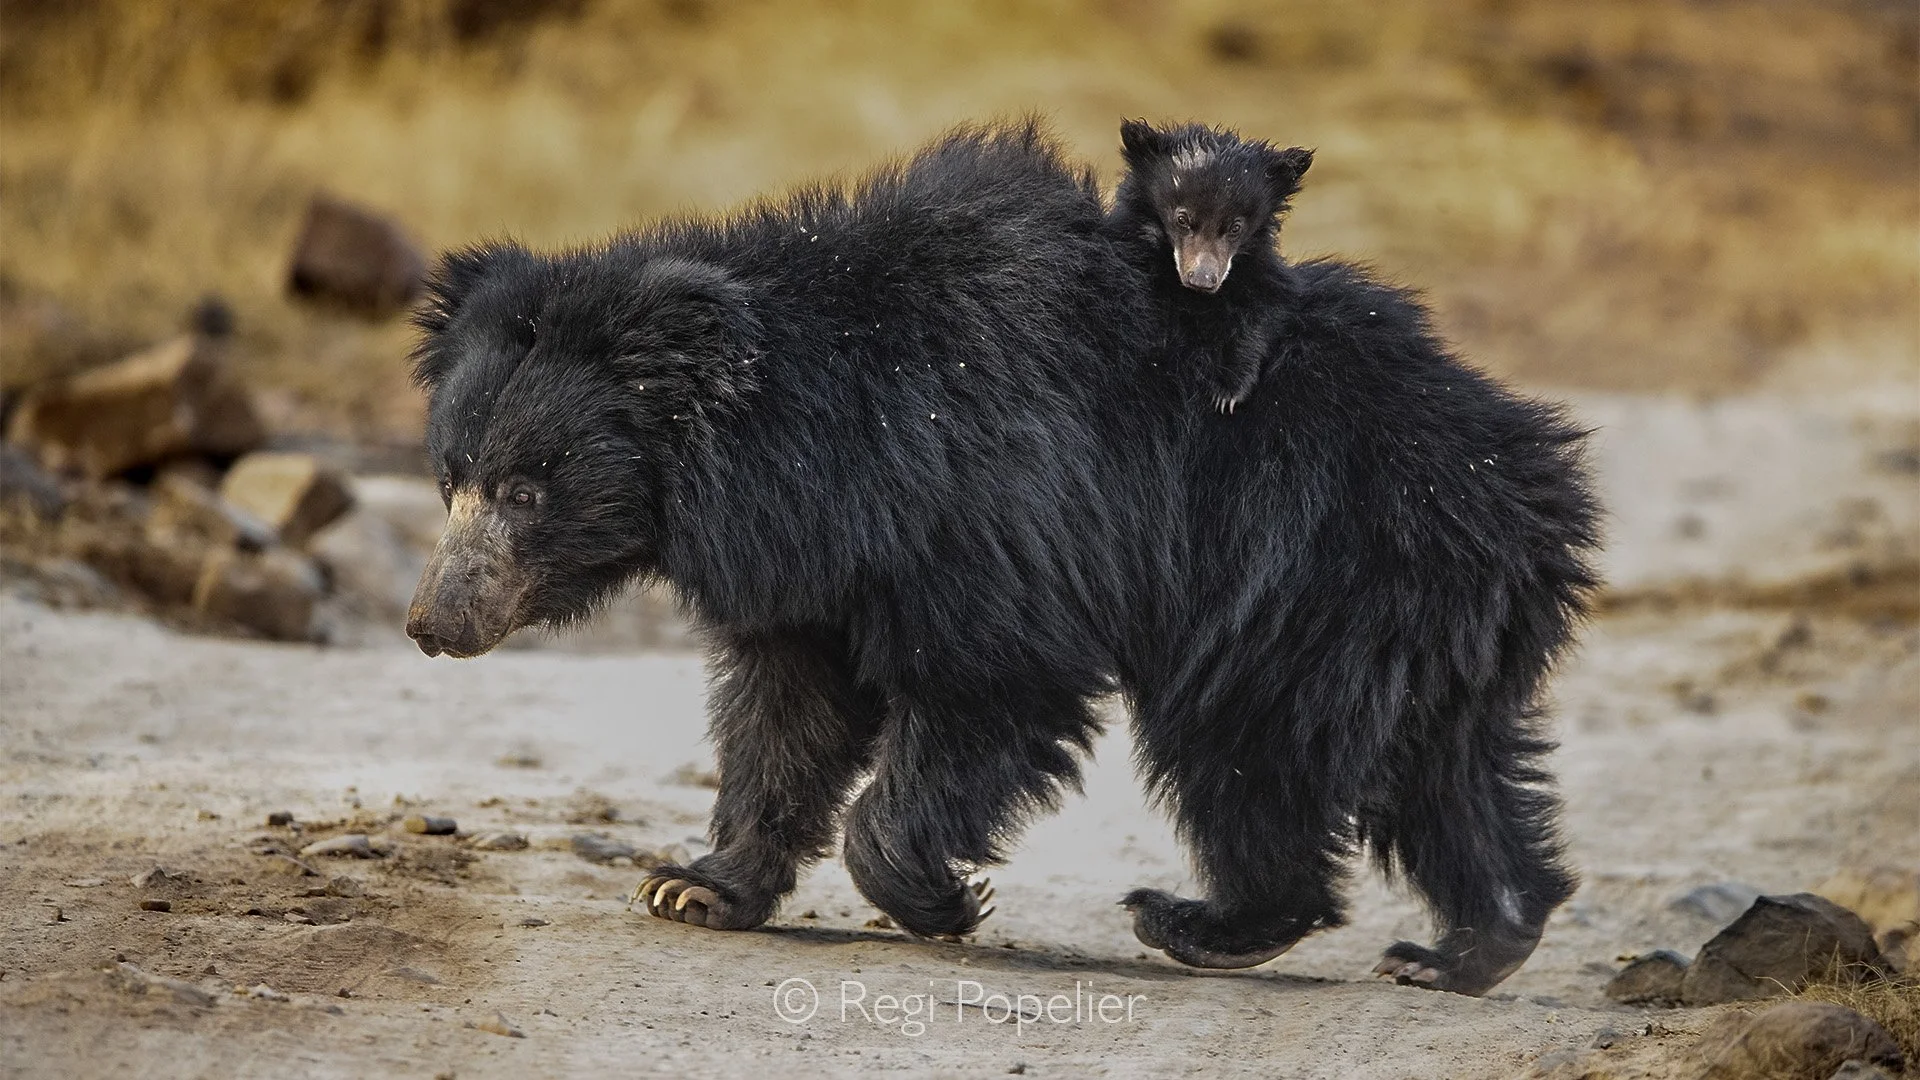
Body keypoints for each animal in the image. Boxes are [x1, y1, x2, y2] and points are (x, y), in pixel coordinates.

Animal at [1109, 119, 1314, 414]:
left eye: (1235, 227)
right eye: (1182, 219)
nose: (1202, 280)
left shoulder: (1257, 269)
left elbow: (1263, 310)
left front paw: (1228, 393)